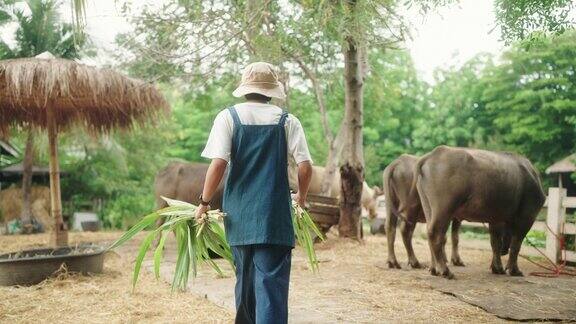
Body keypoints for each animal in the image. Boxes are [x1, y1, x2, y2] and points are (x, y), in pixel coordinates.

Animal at [414, 146, 544, 278]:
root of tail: (432, 155)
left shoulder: (496, 219)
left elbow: (495, 243)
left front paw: (497, 268)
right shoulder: (527, 217)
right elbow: (516, 244)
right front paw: (514, 270)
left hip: (428, 207)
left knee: (429, 233)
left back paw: (434, 269)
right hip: (444, 209)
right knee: (435, 234)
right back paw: (445, 270)